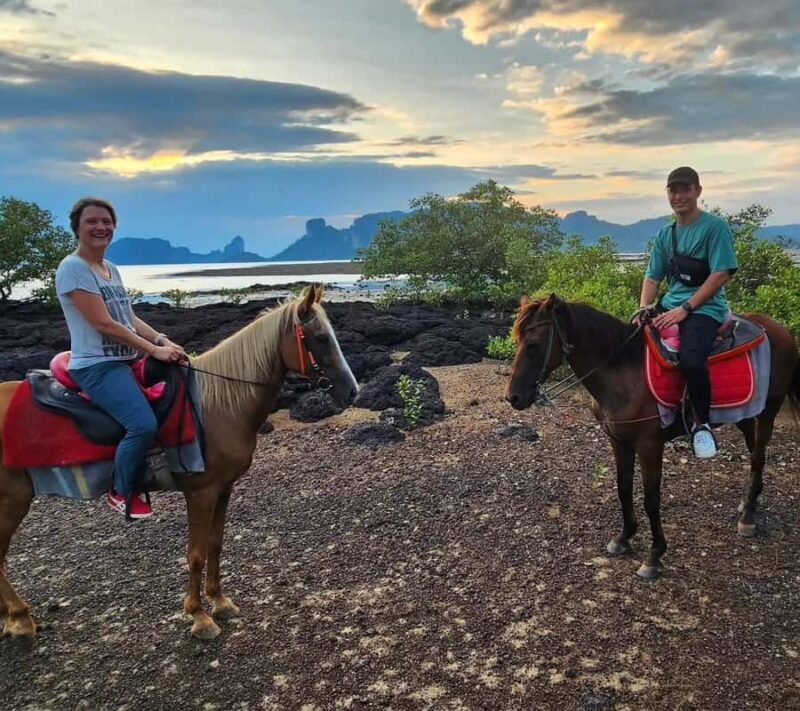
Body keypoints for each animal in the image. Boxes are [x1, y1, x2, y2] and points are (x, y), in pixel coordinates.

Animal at [0, 285, 358, 639]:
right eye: (320, 337)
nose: (353, 391)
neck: (216, 405)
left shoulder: (223, 488)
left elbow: (215, 544)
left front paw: (220, 601)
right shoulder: (200, 492)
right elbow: (196, 555)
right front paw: (199, 616)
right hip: (13, 499)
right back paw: (20, 618)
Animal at [505, 294, 800, 580]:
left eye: (533, 344)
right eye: (518, 341)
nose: (514, 397)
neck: (623, 373)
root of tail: (781, 330)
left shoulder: (649, 445)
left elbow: (651, 499)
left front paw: (655, 555)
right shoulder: (619, 442)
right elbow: (623, 488)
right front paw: (624, 537)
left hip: (769, 409)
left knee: (759, 456)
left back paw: (748, 516)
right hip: (745, 414)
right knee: (754, 452)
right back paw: (750, 501)